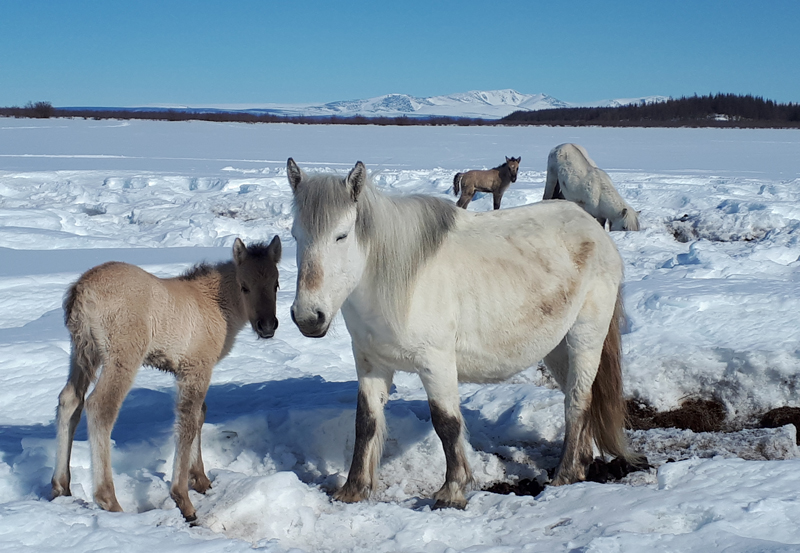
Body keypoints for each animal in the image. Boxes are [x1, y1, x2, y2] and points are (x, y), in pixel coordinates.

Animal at [284, 157, 640, 506]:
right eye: (295, 236)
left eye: (341, 236)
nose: (308, 317)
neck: (397, 280)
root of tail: (594, 229)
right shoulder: (371, 363)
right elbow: (365, 421)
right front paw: (353, 489)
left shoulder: (436, 361)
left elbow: (446, 423)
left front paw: (452, 491)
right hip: (555, 346)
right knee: (576, 396)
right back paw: (581, 463)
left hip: (585, 336)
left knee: (578, 400)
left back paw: (565, 475)